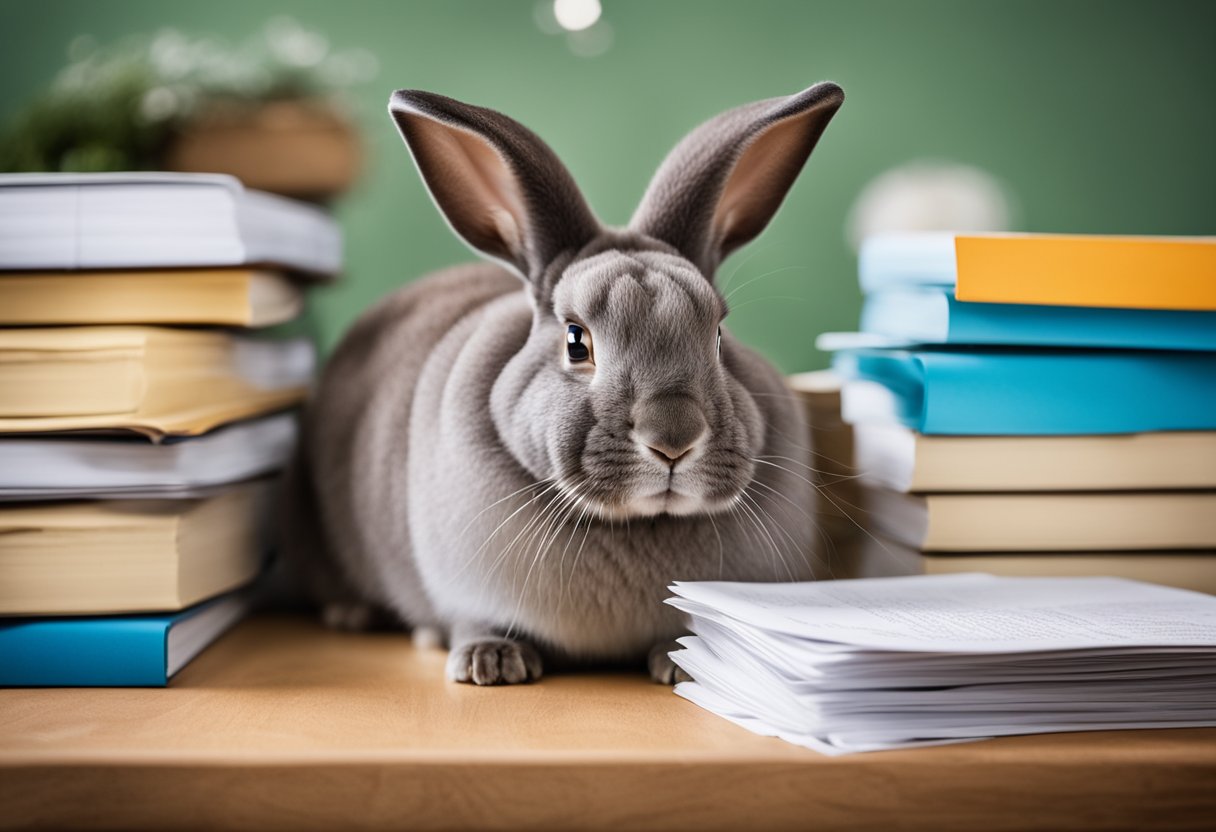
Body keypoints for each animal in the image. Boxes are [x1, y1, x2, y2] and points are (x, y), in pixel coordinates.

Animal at [278, 81, 846, 686]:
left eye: (718, 335)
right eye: (576, 341)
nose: (674, 439)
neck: (637, 522)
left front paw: (682, 663)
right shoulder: (468, 592)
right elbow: (475, 621)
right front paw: (490, 663)